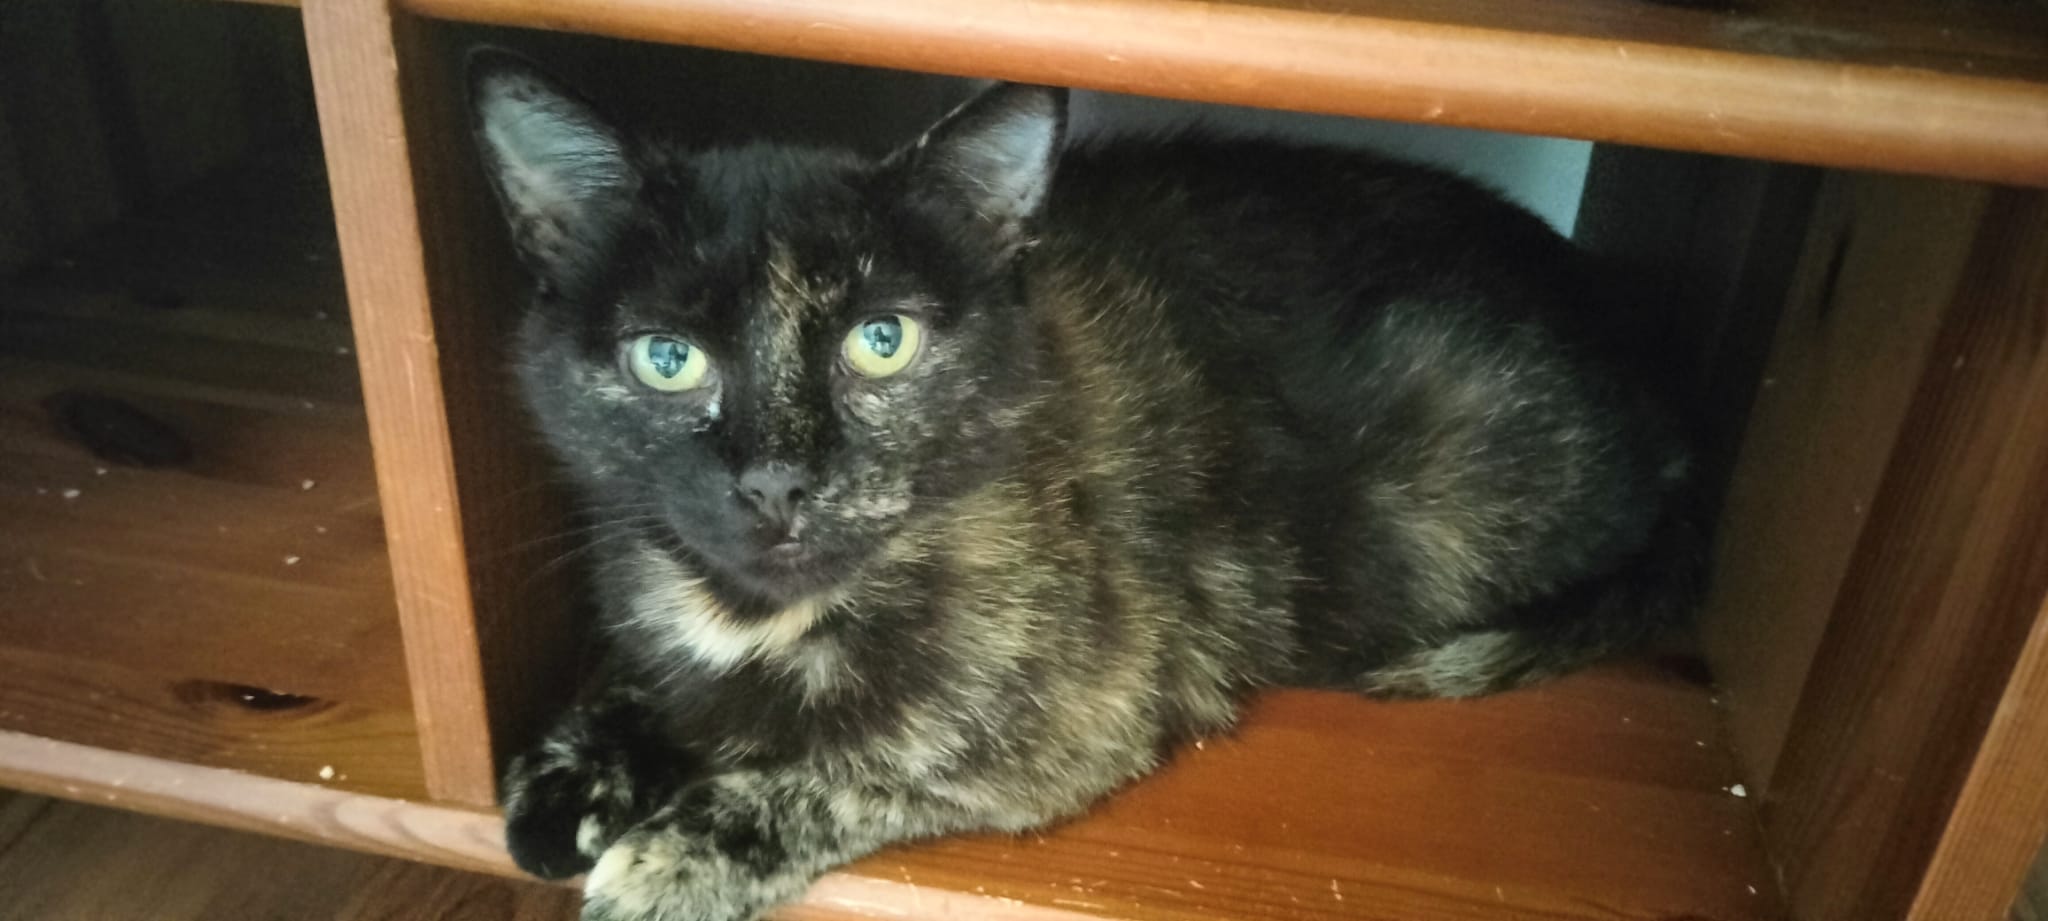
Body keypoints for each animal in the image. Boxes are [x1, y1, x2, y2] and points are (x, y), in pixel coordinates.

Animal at [468, 48, 1699, 921]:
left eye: (881, 342)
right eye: (666, 357)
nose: (776, 483)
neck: (754, 615)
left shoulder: (1081, 714)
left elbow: (868, 761)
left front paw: (676, 848)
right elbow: (655, 682)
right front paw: (573, 768)